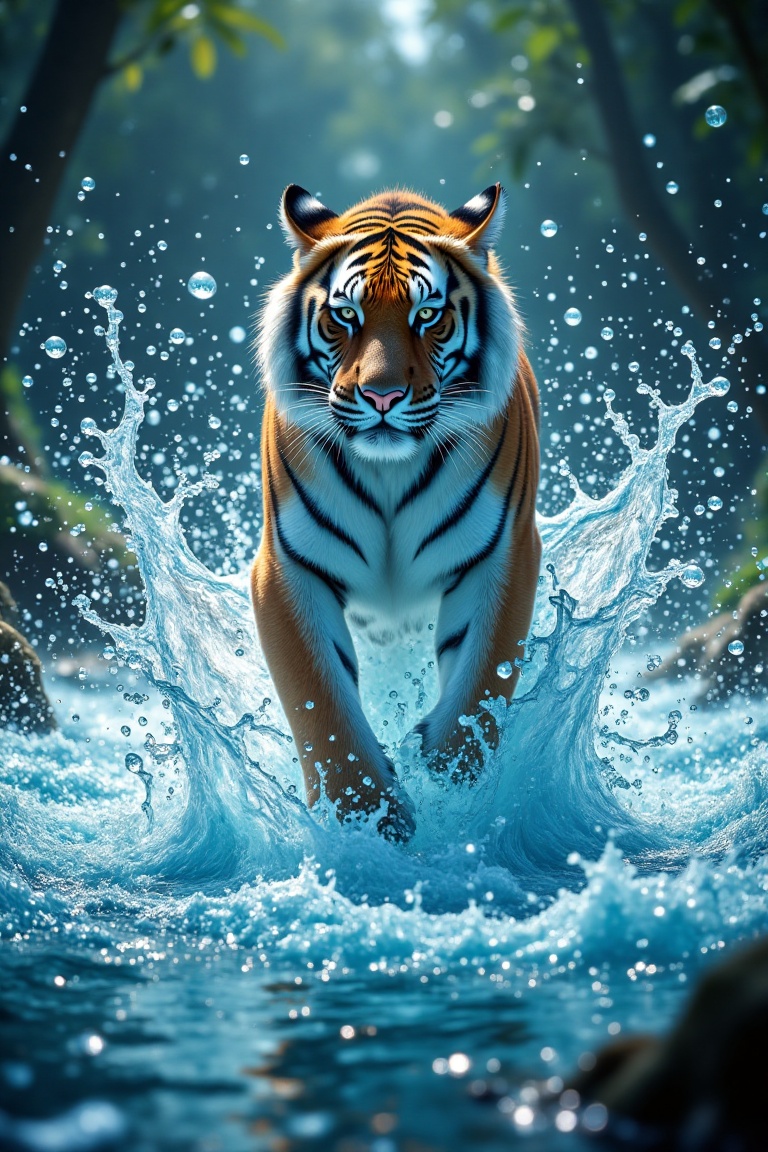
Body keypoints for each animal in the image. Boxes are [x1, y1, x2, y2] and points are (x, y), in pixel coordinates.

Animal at [251, 183, 541, 841]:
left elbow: (483, 684)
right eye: (345, 316)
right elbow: (320, 702)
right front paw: (368, 820)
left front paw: (450, 789)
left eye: (427, 316)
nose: (381, 396)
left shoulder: (505, 554)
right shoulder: (285, 570)